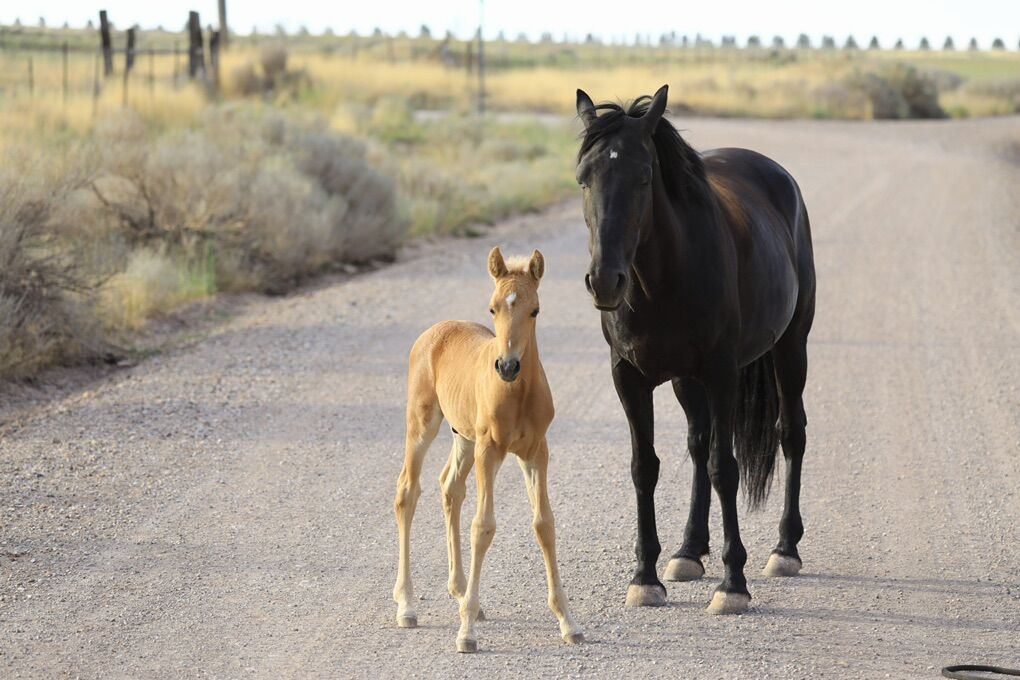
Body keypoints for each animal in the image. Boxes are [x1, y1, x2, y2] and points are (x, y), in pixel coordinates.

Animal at [392, 247, 584, 652]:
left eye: (535, 309)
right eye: (493, 307)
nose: (508, 366)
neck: (518, 393)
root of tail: (434, 331)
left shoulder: (536, 452)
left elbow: (544, 524)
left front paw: (568, 622)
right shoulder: (489, 451)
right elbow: (483, 526)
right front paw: (466, 633)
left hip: (463, 437)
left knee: (449, 486)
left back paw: (461, 592)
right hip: (423, 425)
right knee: (407, 492)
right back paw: (407, 604)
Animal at [575, 85, 816, 614]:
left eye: (644, 178)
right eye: (583, 179)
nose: (604, 281)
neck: (662, 278)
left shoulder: (722, 373)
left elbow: (725, 468)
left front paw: (733, 584)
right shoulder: (629, 377)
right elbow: (645, 467)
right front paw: (645, 577)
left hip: (792, 347)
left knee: (791, 433)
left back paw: (784, 548)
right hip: (687, 380)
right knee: (698, 443)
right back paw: (688, 551)